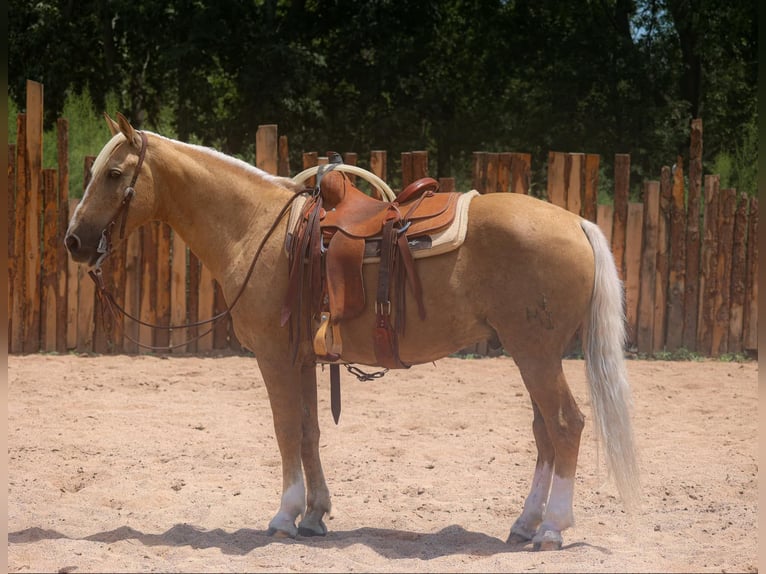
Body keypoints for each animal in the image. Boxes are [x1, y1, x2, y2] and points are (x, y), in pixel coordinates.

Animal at [65, 113, 640, 551]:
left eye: (114, 173)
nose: (74, 241)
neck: (257, 229)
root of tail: (576, 222)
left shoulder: (274, 357)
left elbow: (285, 430)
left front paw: (284, 516)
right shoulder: (302, 358)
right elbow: (309, 431)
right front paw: (315, 515)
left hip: (535, 354)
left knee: (564, 425)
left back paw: (551, 529)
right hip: (531, 355)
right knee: (545, 432)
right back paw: (524, 524)